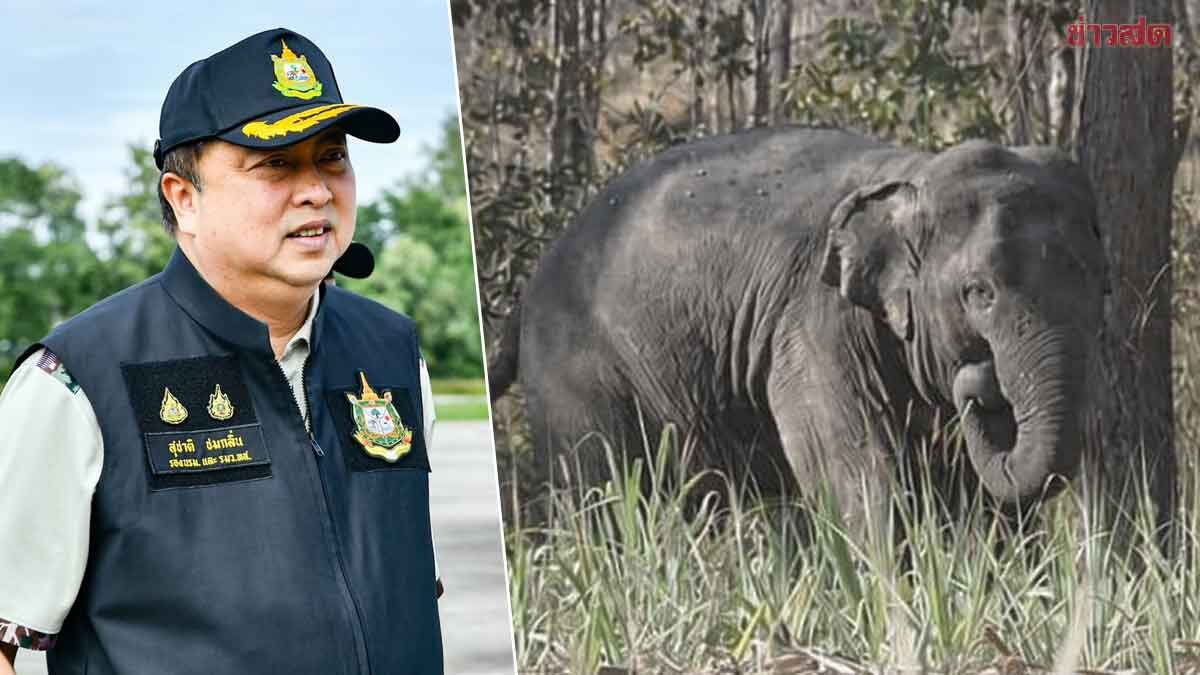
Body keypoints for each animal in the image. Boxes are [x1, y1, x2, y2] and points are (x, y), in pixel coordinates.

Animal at [488, 126, 1107, 533]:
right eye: (979, 292)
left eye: (1096, 281)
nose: (980, 383)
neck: (909, 176)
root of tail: (526, 294)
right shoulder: (813, 321)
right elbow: (852, 468)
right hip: (575, 374)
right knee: (603, 496)